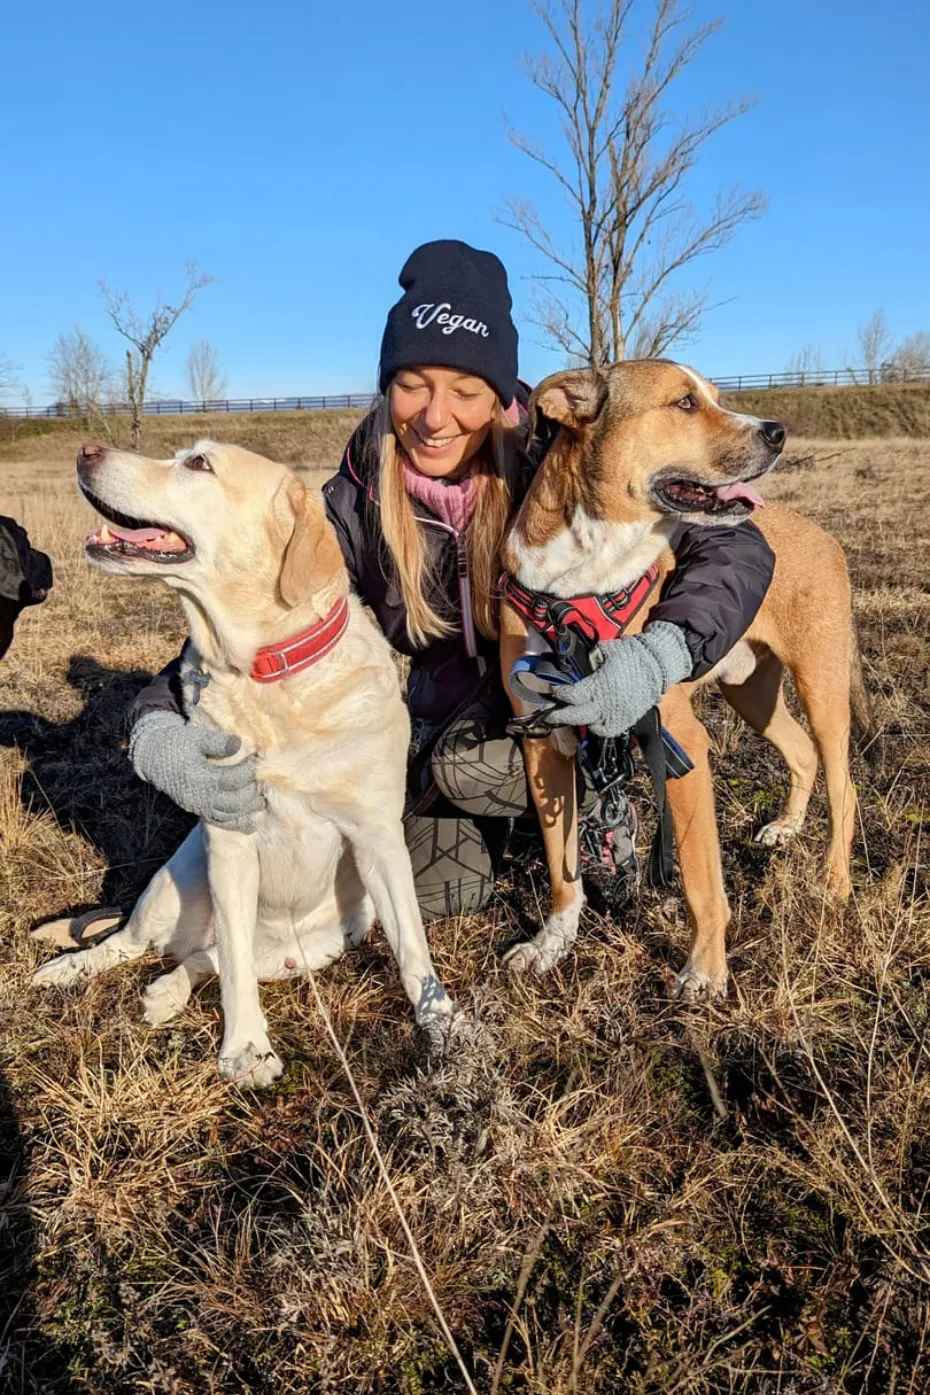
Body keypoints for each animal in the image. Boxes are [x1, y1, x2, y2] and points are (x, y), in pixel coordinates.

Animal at [501, 359, 864, 993]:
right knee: (800, 753)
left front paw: (706, 971)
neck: (580, 583)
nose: (778, 431)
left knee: (843, 787)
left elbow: (700, 879)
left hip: (822, 688)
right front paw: (550, 946)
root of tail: (824, 535)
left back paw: (834, 882)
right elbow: (561, 869)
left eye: (713, 397)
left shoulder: (679, 740)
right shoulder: (545, 743)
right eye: (685, 403)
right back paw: (785, 828)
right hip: (751, 692)